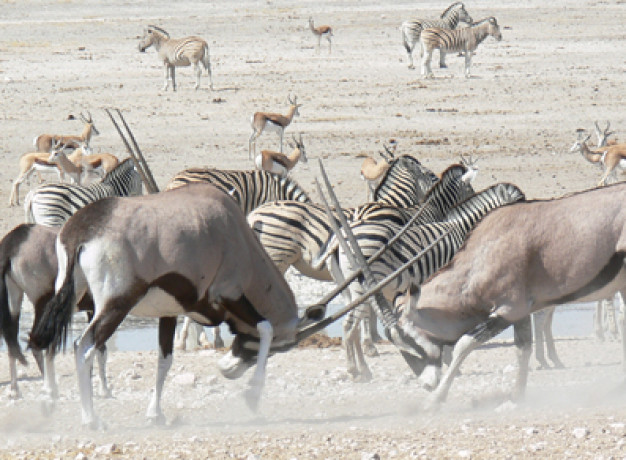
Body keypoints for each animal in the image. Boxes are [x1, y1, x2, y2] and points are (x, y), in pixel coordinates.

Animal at [324, 182, 524, 380]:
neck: (462, 231)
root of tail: (338, 240)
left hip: (347, 290)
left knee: (353, 327)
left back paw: (364, 370)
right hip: (363, 288)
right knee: (349, 326)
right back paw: (354, 370)